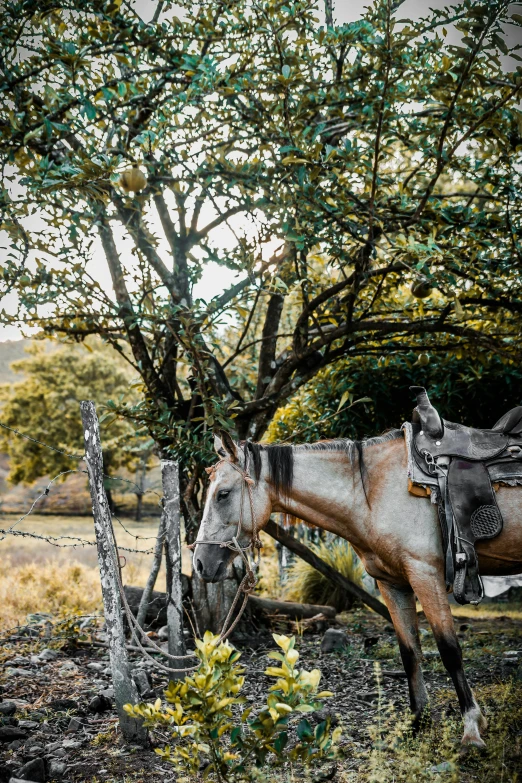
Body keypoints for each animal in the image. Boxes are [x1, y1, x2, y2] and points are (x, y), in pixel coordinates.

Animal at [193, 432, 520, 752]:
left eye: (223, 494)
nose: (199, 563)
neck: (373, 493)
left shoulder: (425, 573)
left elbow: (450, 650)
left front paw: (471, 731)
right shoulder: (392, 583)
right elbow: (410, 652)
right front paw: (417, 724)